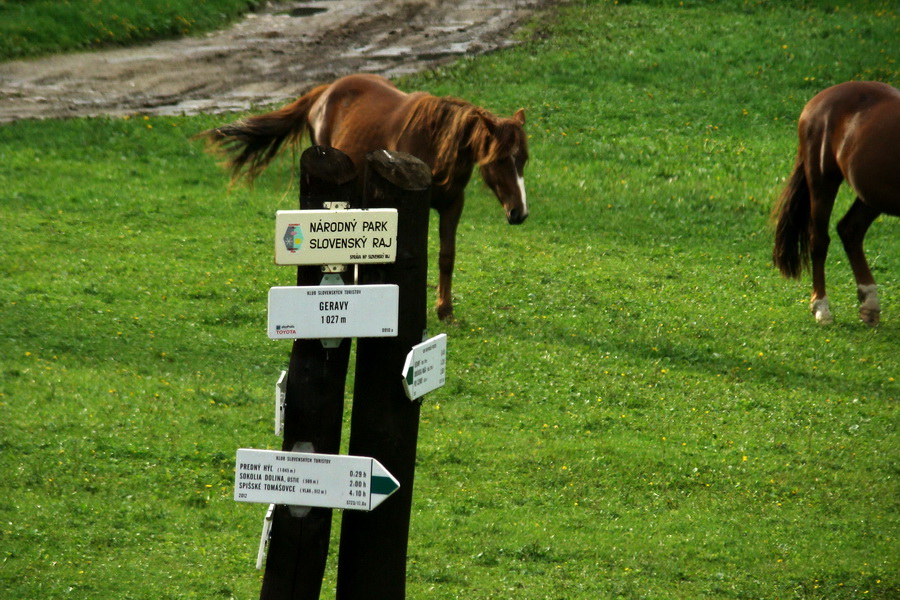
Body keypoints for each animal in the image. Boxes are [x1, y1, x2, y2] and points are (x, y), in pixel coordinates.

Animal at [197, 73, 528, 322]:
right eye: (500, 160)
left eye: (523, 158)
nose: (519, 213)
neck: (436, 142)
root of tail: (324, 92)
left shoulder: (452, 205)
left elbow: (447, 256)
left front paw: (445, 310)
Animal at [772, 81, 900, 326]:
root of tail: (817, 101)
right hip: (823, 179)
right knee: (819, 239)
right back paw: (821, 308)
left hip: (872, 193)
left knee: (850, 229)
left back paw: (869, 303)